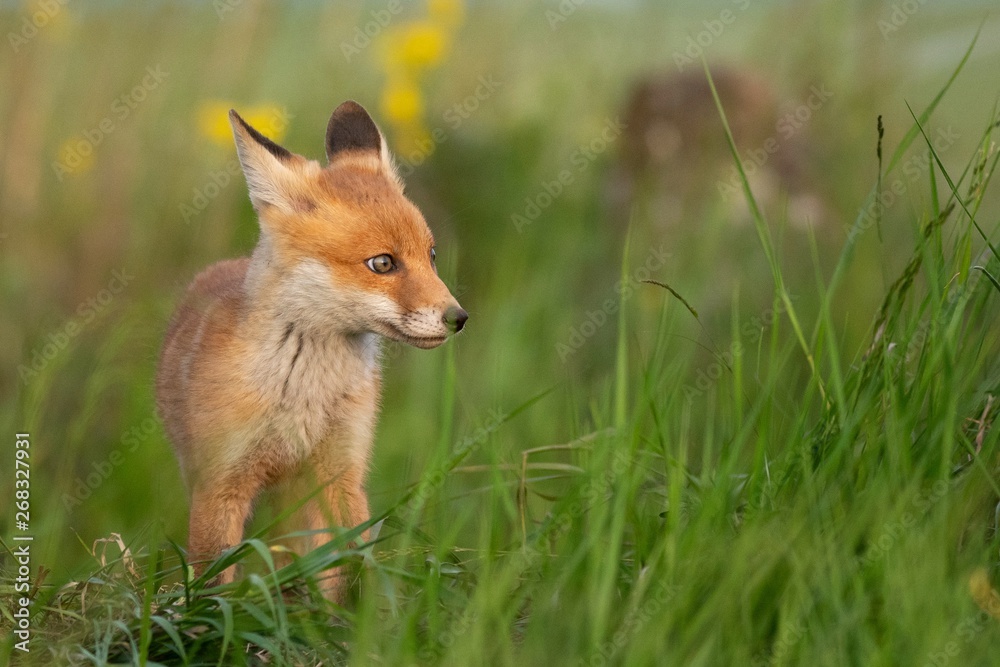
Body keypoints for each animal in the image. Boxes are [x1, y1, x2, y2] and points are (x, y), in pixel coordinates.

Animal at [155, 100, 467, 602]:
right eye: (383, 263)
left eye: (432, 255)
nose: (458, 317)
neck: (304, 394)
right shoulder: (220, 484)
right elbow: (212, 584)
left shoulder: (343, 473)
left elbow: (351, 567)